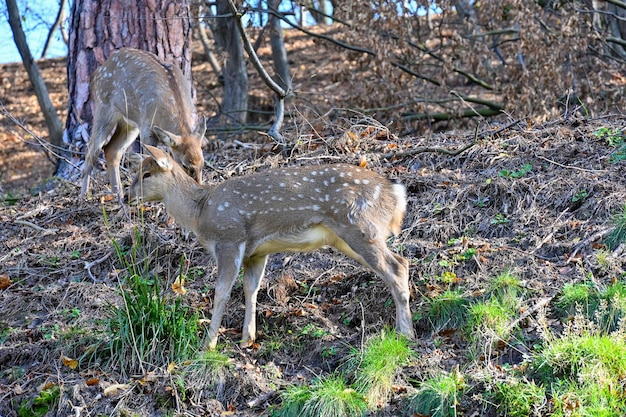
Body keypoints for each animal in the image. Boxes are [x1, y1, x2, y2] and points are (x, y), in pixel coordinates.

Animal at [80, 48, 206, 202]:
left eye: (203, 163)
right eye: (184, 165)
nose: (198, 185)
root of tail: (95, 75)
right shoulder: (147, 126)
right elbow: (148, 158)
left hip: (130, 123)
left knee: (112, 150)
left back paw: (118, 194)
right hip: (104, 108)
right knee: (91, 150)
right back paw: (83, 196)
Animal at [128, 145, 414, 350]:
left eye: (146, 174)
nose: (127, 195)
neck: (200, 212)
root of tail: (396, 193)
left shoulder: (230, 239)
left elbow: (222, 292)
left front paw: (207, 345)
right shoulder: (256, 252)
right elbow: (250, 289)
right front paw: (247, 338)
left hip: (360, 226)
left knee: (396, 267)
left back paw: (406, 333)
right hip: (347, 237)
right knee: (402, 262)